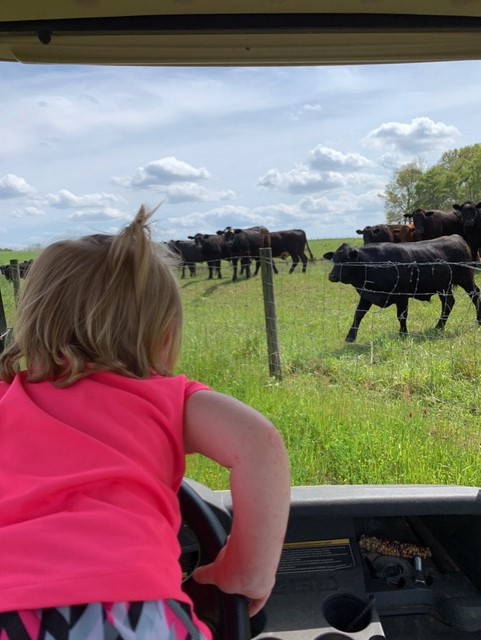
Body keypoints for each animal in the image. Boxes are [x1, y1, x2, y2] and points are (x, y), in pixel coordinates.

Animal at [322, 235, 480, 342]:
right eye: (335, 259)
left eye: (346, 260)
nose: (332, 276)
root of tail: (456, 237)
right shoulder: (367, 295)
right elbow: (358, 314)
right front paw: (350, 337)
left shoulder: (402, 296)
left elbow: (402, 316)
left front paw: (403, 334)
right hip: (443, 287)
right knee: (448, 303)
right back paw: (438, 327)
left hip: (466, 280)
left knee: (475, 295)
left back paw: (477, 321)